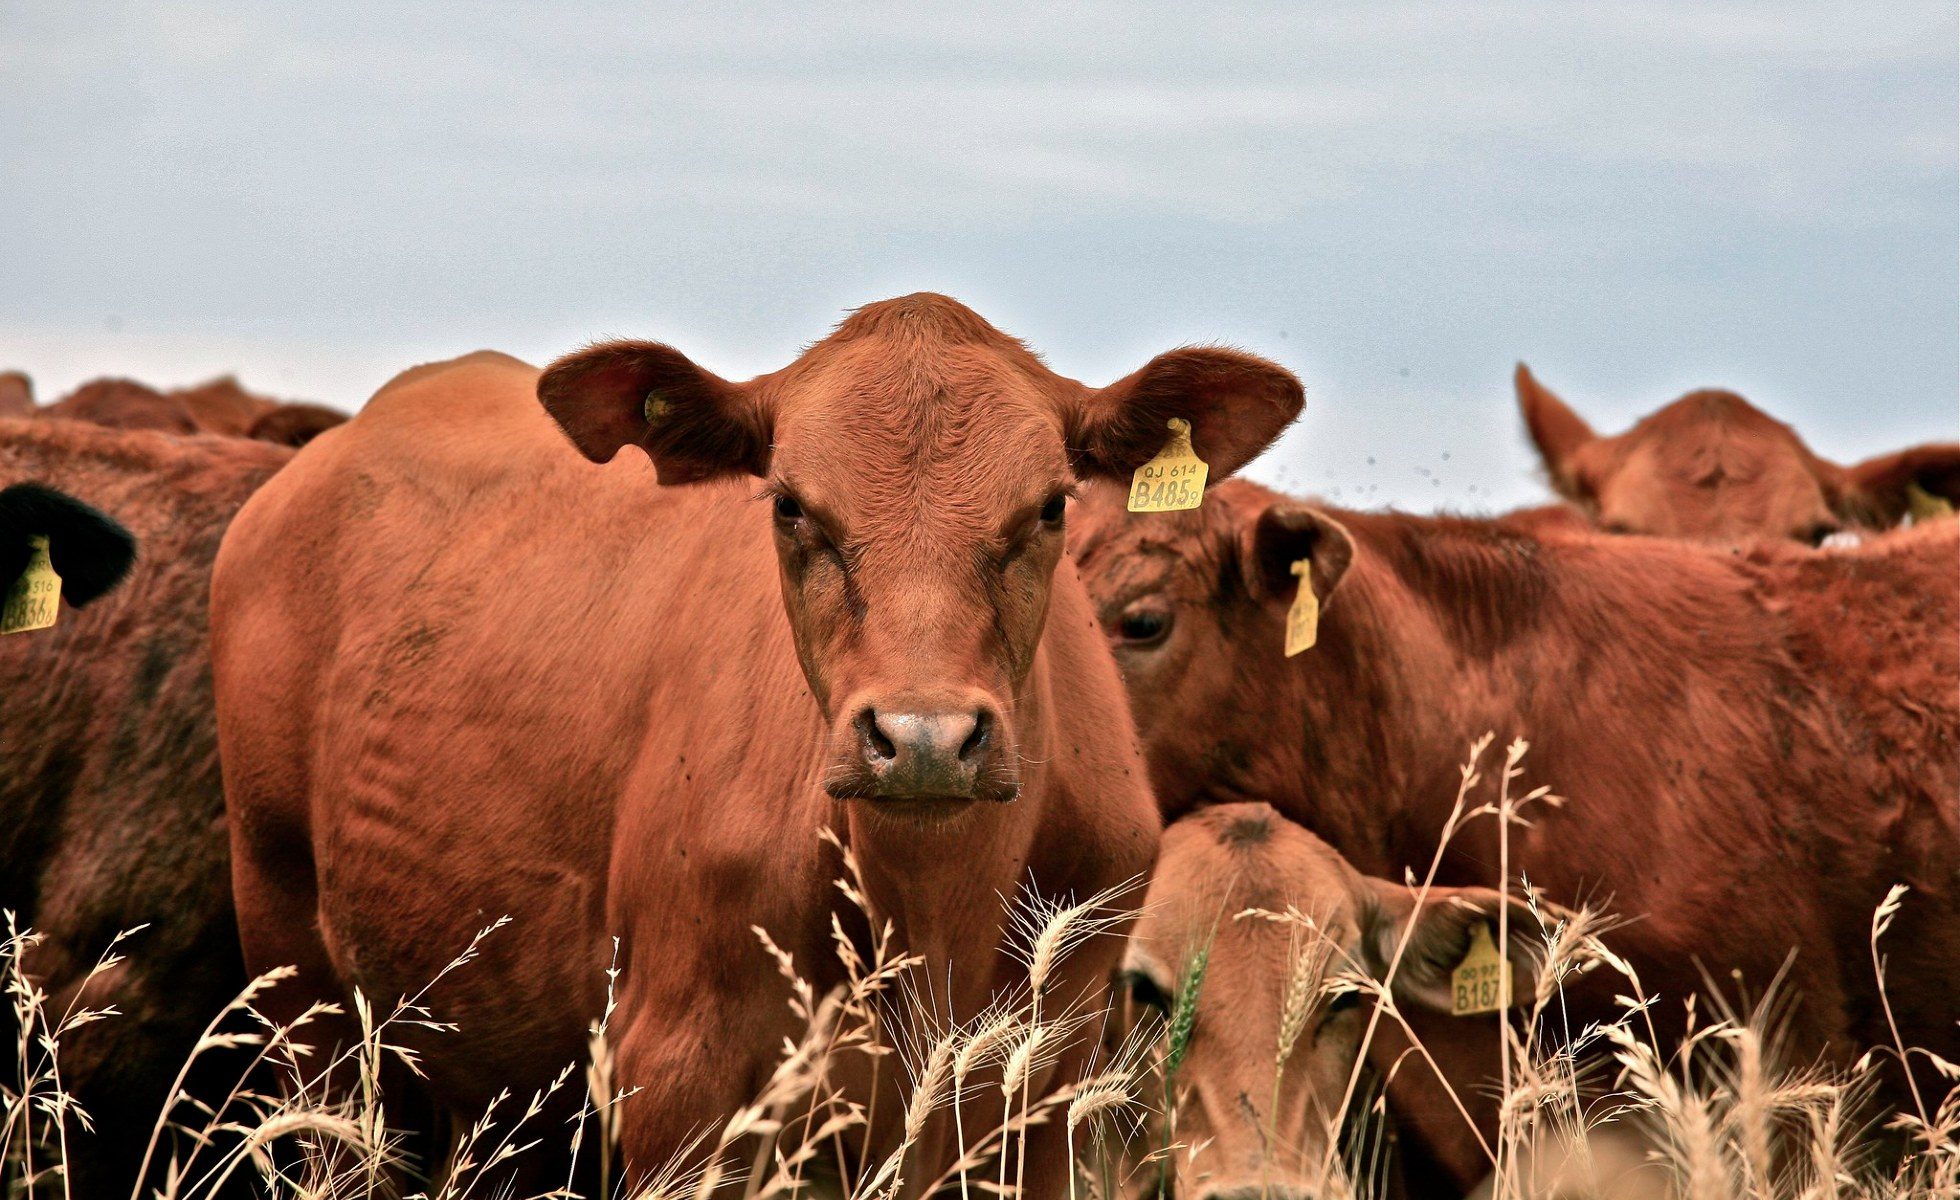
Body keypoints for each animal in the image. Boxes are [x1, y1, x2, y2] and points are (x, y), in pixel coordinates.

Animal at [214, 298, 1309, 1192]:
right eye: (790, 505)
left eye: (1049, 507)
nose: (923, 738)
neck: (933, 921)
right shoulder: (676, 1077)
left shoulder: (1049, 1093)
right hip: (300, 981)